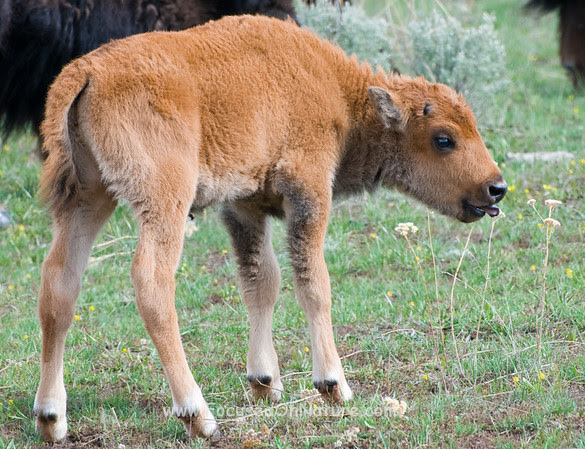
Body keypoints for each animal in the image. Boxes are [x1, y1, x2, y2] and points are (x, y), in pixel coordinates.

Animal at [34, 15, 507, 442]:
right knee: (152, 284)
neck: (338, 92)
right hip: (163, 201)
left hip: (86, 199)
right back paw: (199, 415)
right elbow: (313, 283)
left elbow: (262, 281)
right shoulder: (308, 191)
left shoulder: (245, 205)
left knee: (59, 285)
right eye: (443, 138)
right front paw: (333, 386)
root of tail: (86, 72)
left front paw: (264, 383)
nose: (496, 188)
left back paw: (51, 418)